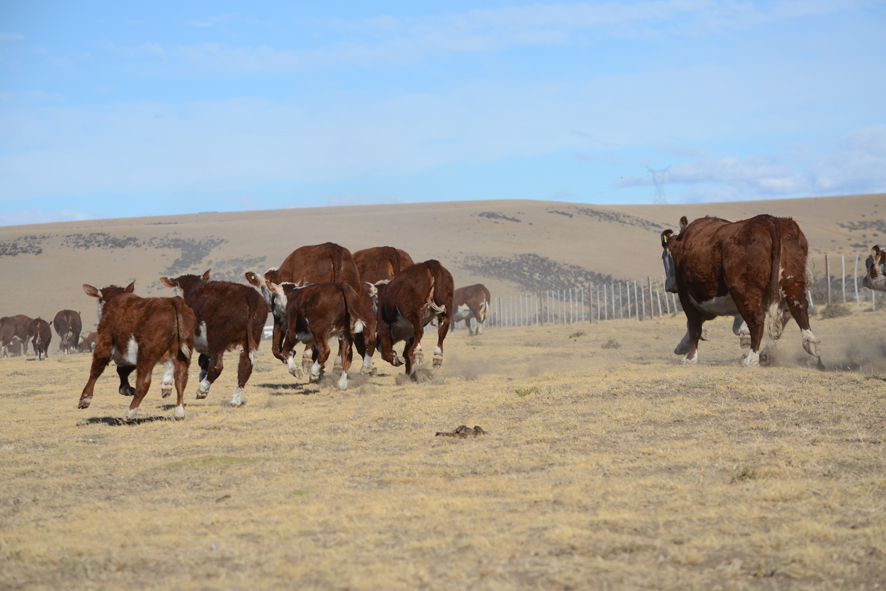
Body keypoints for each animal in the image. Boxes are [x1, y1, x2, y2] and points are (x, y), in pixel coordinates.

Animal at [78, 284, 198, 426]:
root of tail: (174, 300)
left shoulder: (105, 343)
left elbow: (96, 370)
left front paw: (85, 398)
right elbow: (122, 370)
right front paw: (126, 388)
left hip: (146, 353)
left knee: (144, 383)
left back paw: (128, 415)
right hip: (181, 352)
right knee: (181, 378)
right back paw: (179, 413)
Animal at [160, 272, 268, 408]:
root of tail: (249, 293)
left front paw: (166, 385)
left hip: (217, 338)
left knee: (217, 366)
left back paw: (202, 390)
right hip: (250, 338)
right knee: (245, 367)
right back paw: (235, 400)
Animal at [664, 215, 824, 368]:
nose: (667, 285)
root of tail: (769, 220)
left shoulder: (687, 295)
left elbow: (694, 325)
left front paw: (690, 357)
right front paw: (682, 347)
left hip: (743, 291)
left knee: (757, 320)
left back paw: (751, 359)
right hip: (792, 281)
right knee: (798, 308)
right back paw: (811, 344)